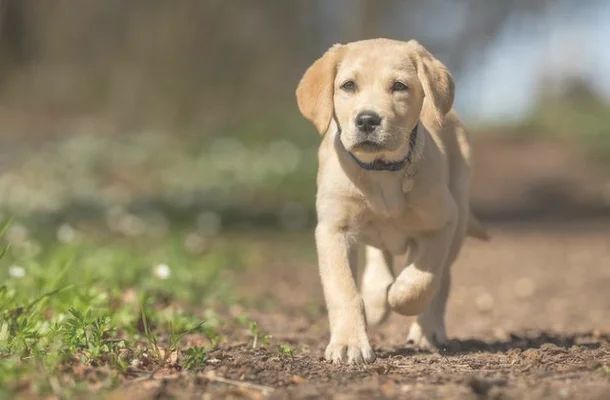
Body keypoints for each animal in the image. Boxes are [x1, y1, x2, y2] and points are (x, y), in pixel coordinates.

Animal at [294, 39, 490, 364]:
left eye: (399, 86)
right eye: (348, 85)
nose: (367, 119)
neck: (381, 170)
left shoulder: (442, 221)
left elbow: (421, 279)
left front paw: (401, 298)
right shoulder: (333, 229)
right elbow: (342, 289)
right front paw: (349, 343)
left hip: (459, 215)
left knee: (442, 279)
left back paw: (427, 329)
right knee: (379, 253)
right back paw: (376, 296)